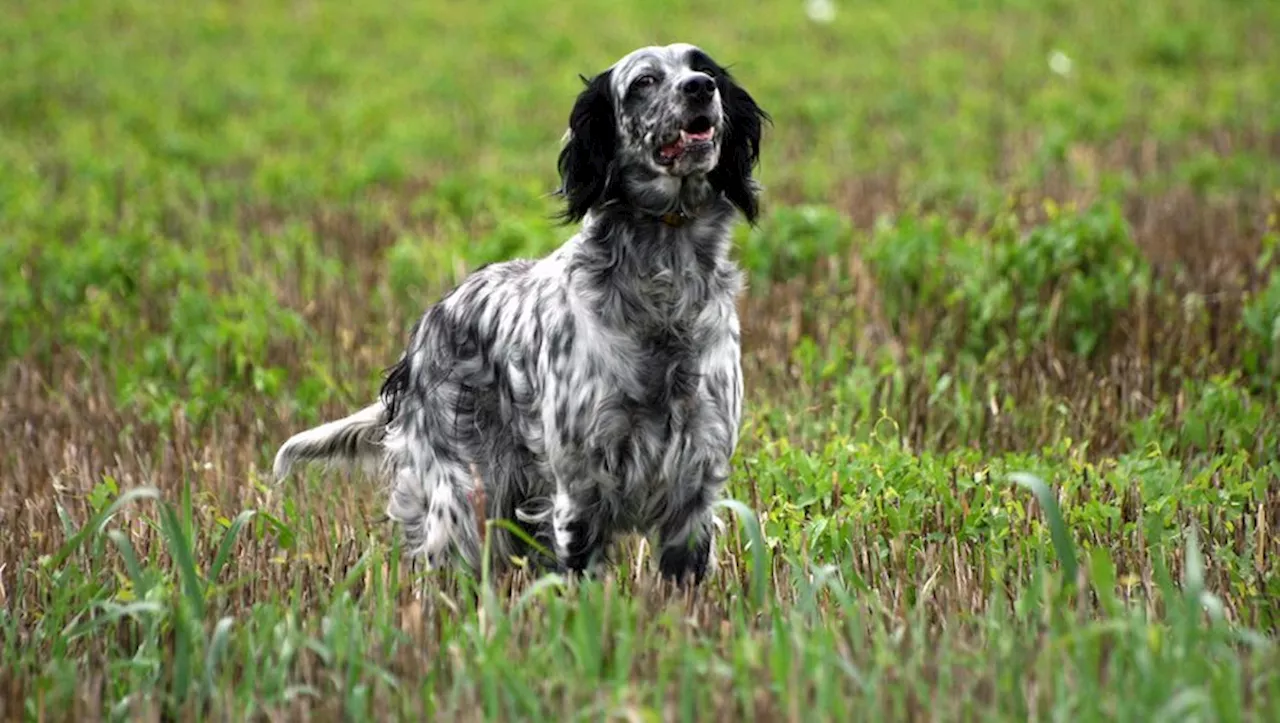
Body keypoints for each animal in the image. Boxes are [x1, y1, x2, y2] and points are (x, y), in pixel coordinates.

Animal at [272, 42, 768, 583]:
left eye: (703, 67)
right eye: (644, 82)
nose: (701, 87)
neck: (663, 285)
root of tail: (428, 324)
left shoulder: (695, 487)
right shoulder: (579, 492)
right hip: (463, 497)